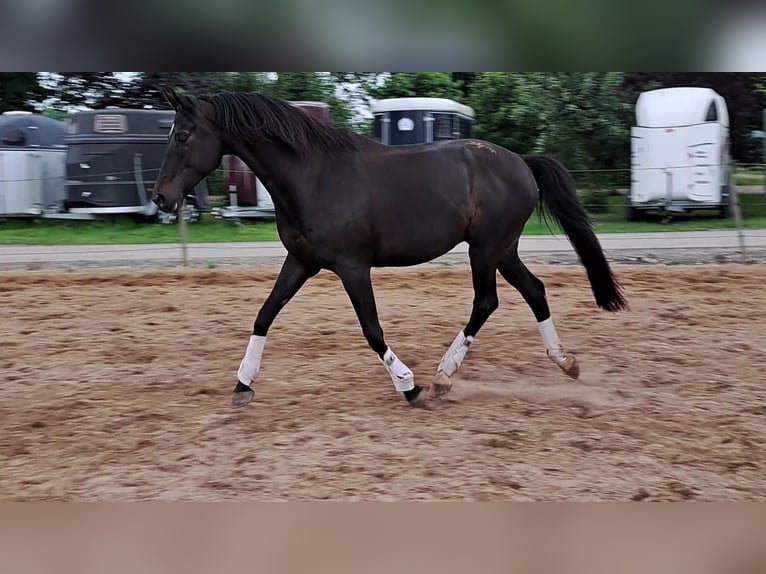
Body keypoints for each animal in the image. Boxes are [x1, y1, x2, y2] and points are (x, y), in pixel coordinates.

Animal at [152, 85, 632, 412]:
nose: (161, 198)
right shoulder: (301, 261)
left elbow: (372, 330)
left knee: (486, 301)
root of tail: (521, 163)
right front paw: (243, 385)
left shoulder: (352, 267)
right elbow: (264, 315)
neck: (314, 177)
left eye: (183, 135)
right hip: (503, 250)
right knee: (534, 291)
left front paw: (409, 385)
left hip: (485, 249)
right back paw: (565, 362)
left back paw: (442, 378)